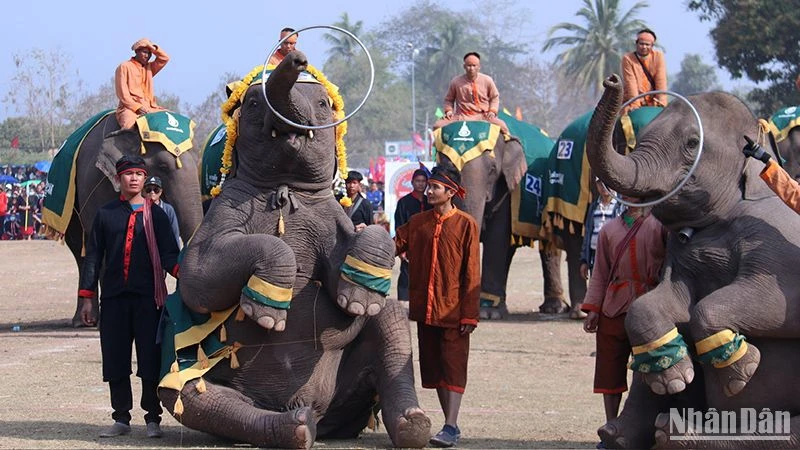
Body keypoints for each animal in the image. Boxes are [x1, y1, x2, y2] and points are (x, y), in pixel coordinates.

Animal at [51, 111, 203, 326]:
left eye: (199, 162)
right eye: (163, 166)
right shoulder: (99, 181)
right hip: (68, 199)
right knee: (80, 249)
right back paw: (84, 321)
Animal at [161, 51, 432, 448]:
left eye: (322, 104)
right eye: (252, 104)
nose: (297, 56)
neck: (285, 189)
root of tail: (317, 411)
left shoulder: (331, 217)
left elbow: (356, 266)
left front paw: (359, 300)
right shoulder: (220, 215)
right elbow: (197, 282)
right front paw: (267, 315)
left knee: (391, 321)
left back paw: (413, 425)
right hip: (197, 365)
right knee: (189, 394)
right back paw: (297, 428)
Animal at [584, 74, 800, 446]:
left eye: (693, 142)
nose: (611, 80)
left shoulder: (778, 248)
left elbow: (769, 300)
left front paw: (742, 372)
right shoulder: (680, 255)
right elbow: (662, 304)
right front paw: (675, 378)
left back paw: (674, 432)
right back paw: (625, 434)